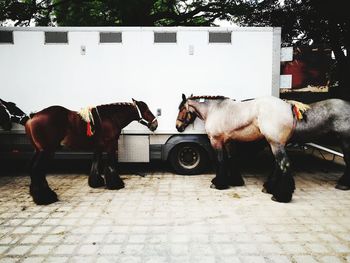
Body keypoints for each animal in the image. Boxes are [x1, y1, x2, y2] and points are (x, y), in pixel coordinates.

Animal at [26, 100, 158, 205]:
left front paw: (96, 182)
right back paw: (45, 197)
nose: (155, 124)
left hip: (39, 151)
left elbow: (95, 162)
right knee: (37, 170)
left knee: (35, 170)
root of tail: (33, 116)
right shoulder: (110, 145)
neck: (109, 118)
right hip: (46, 151)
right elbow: (111, 164)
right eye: (146, 109)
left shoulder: (98, 147)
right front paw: (116, 184)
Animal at [176, 95, 350, 204]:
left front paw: (218, 183)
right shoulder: (230, 141)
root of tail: (288, 107)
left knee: (284, 164)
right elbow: (231, 160)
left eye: (181, 109)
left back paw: (280, 195)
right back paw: (270, 188)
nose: (178, 127)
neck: (215, 110)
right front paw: (234, 181)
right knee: (278, 164)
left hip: (276, 143)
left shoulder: (217, 141)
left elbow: (221, 161)